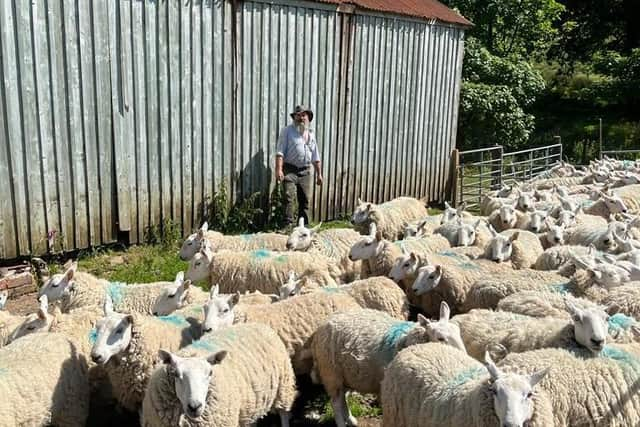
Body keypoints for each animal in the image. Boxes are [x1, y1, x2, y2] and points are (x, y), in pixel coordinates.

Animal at [141, 324, 296, 427]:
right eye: (175, 374)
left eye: (210, 373)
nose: (194, 407)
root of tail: (258, 324)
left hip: (284, 386)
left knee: (284, 413)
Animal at [308, 302, 462, 427]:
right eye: (440, 338)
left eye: (458, 332)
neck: (408, 340)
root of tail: (322, 326)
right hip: (331, 372)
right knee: (335, 402)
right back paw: (342, 423)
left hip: (345, 374)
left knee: (342, 399)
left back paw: (351, 420)